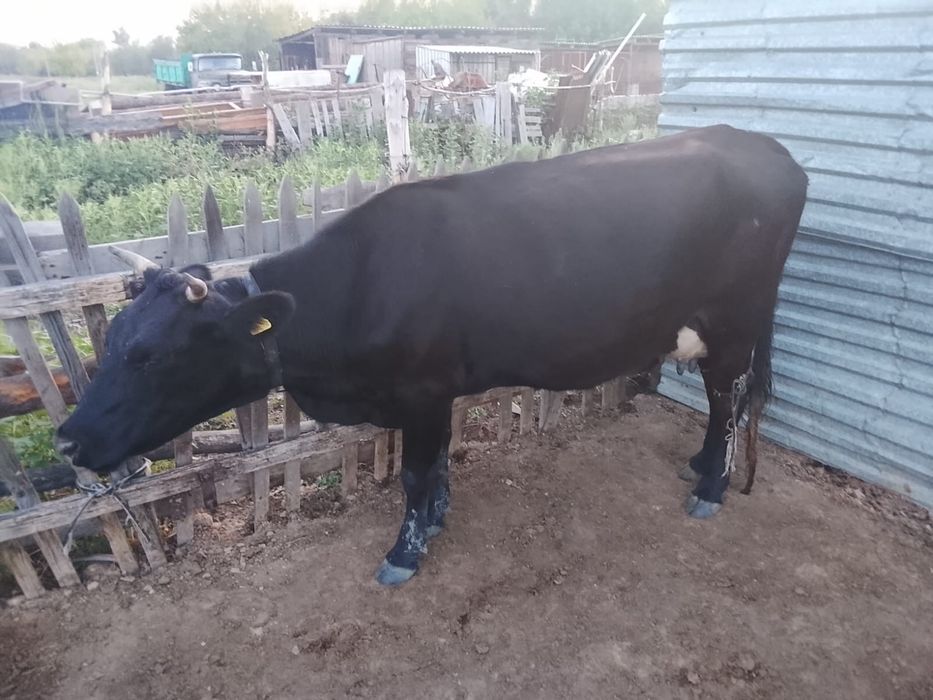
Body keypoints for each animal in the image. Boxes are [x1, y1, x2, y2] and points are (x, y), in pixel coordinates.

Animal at [56, 125, 808, 586]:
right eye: (113, 341)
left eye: (149, 355)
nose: (65, 441)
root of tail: (765, 147)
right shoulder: (434, 394)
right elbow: (439, 464)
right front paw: (438, 518)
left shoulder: (420, 390)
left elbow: (416, 475)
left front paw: (404, 552)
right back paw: (700, 467)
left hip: (733, 324)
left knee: (726, 401)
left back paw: (710, 488)